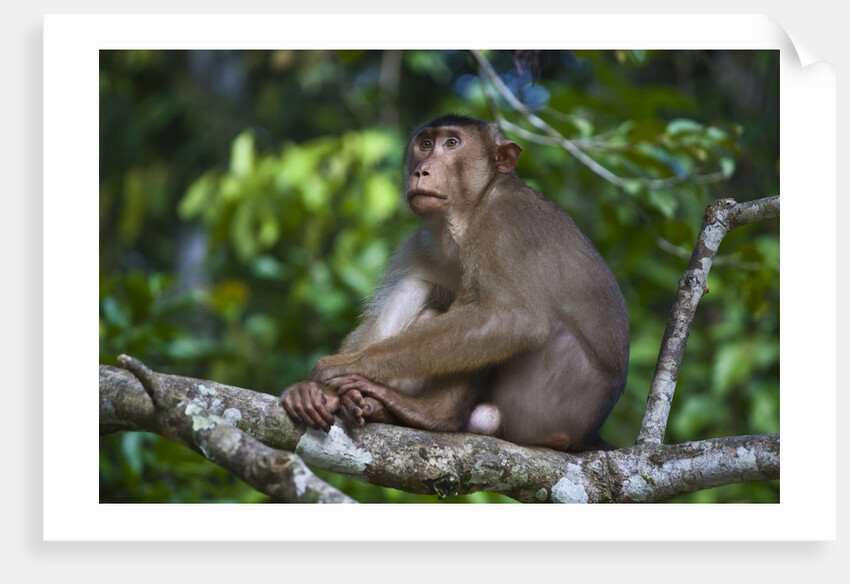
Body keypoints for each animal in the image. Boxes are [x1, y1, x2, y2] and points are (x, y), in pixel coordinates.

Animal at [281, 114, 629, 451]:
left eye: (451, 143)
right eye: (425, 144)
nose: (422, 170)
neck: (471, 211)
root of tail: (588, 436)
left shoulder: (506, 223)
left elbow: (515, 319)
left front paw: (345, 367)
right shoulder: (421, 243)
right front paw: (313, 390)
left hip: (549, 403)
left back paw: (432, 415)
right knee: (420, 288)